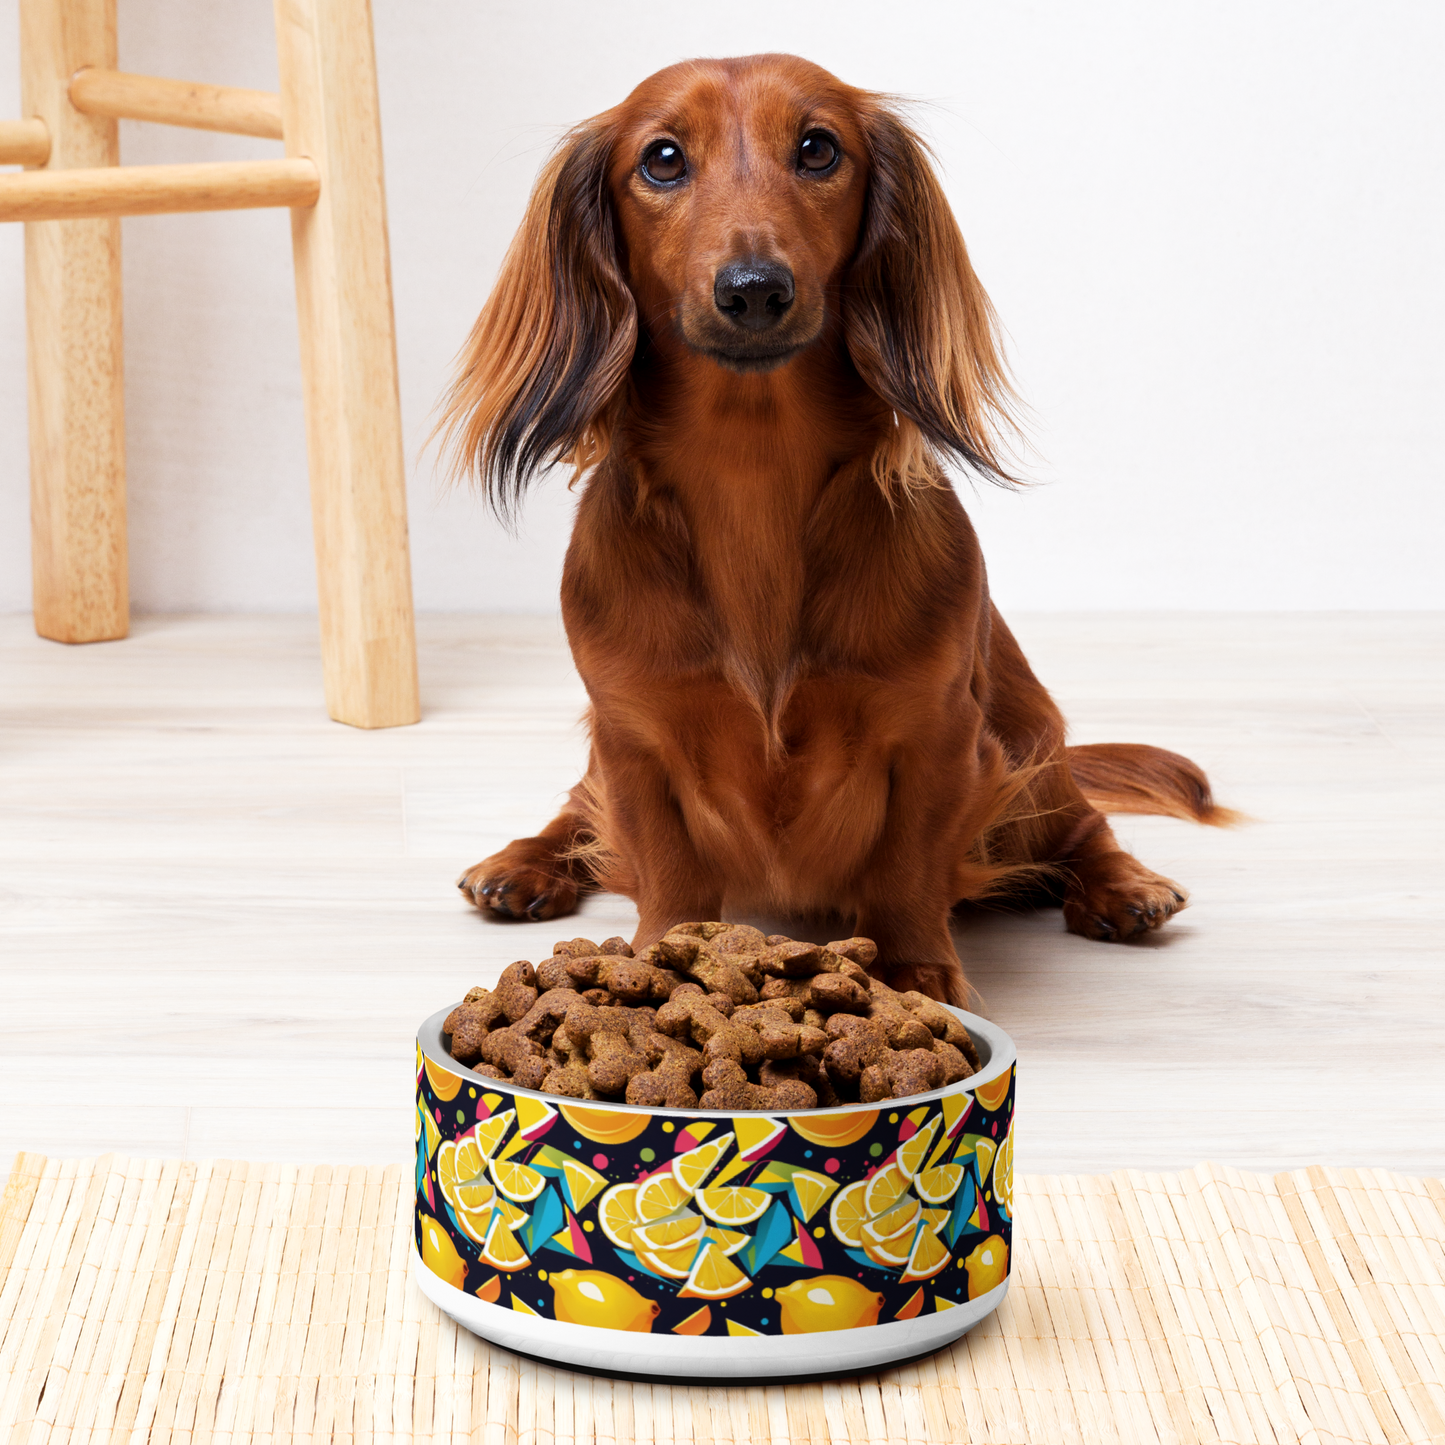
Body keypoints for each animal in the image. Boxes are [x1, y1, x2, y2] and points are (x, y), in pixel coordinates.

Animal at [436, 53, 1231, 1005]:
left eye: (818, 148)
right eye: (661, 159)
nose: (753, 290)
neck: (752, 473)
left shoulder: (937, 733)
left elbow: (906, 867)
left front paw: (916, 971)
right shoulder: (632, 735)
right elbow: (664, 865)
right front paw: (660, 959)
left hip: (1028, 743)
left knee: (1081, 823)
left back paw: (1123, 885)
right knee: (576, 811)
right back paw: (524, 863)